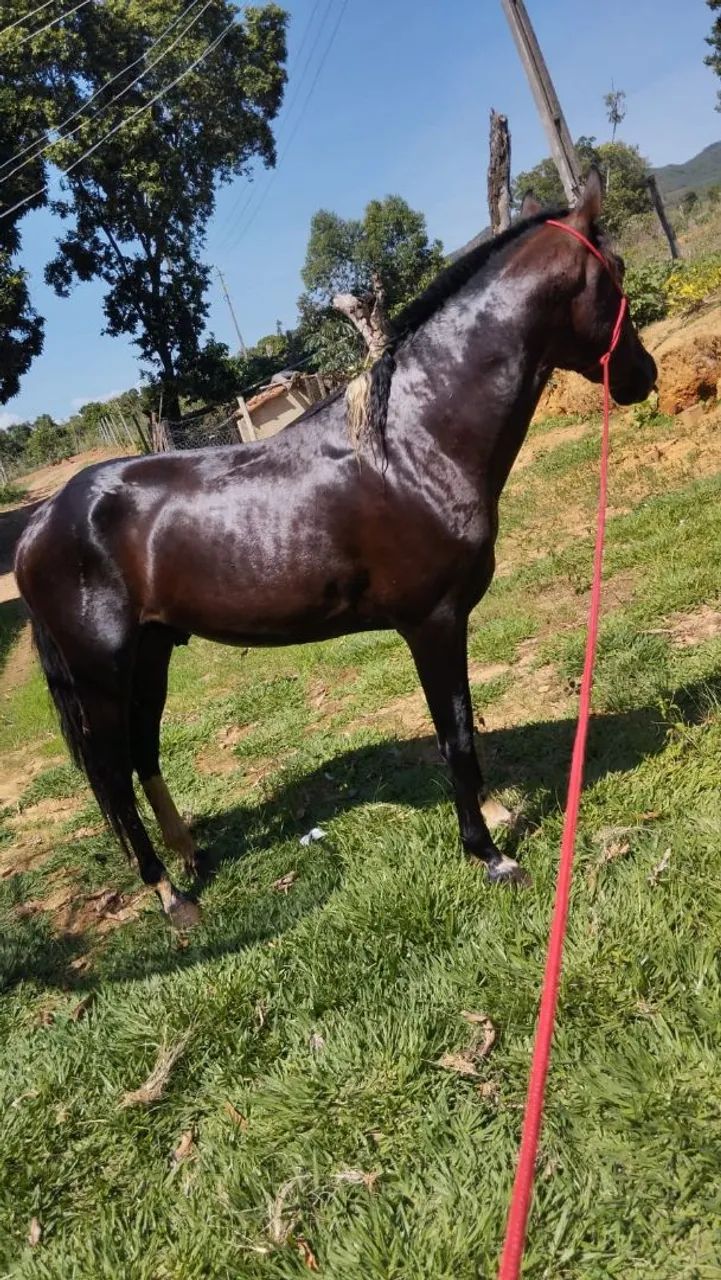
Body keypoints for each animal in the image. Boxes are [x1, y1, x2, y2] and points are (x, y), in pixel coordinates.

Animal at [15, 169, 656, 928]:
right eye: (615, 270)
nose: (643, 375)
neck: (414, 442)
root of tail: (41, 521)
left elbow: (466, 725)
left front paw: (494, 816)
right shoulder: (432, 622)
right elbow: (456, 734)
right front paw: (490, 853)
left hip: (151, 654)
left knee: (144, 754)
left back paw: (192, 859)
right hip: (102, 673)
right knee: (113, 775)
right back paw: (170, 895)